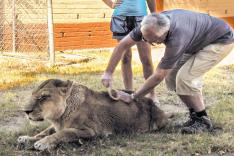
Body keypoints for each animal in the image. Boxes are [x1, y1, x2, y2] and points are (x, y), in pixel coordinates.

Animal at [17, 79, 168, 151]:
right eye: (33, 95)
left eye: (43, 97)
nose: (26, 111)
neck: (59, 118)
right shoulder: (56, 125)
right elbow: (45, 131)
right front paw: (27, 138)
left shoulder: (90, 131)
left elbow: (64, 133)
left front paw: (42, 143)